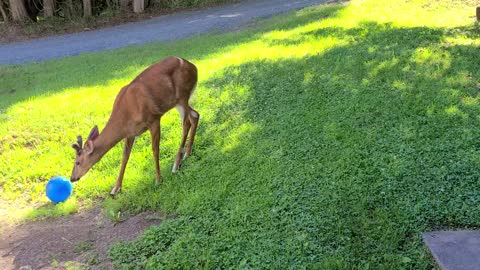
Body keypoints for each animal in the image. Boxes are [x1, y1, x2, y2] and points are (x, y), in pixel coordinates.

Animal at [70, 57, 200, 196]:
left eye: (77, 162)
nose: (72, 178)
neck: (124, 116)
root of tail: (194, 67)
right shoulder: (130, 133)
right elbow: (125, 157)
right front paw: (115, 189)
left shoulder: (153, 119)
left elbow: (155, 150)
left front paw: (158, 179)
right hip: (178, 102)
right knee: (195, 115)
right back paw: (187, 154)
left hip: (182, 96)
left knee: (187, 122)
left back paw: (176, 165)